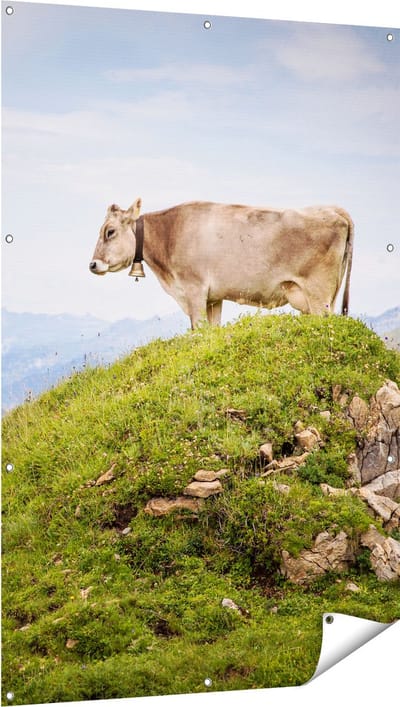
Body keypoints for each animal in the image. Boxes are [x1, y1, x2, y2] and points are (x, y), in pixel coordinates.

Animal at [89, 198, 354, 329]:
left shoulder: (194, 289)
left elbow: (198, 330)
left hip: (319, 294)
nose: (92, 264)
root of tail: (335, 210)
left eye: (110, 232)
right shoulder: (213, 298)